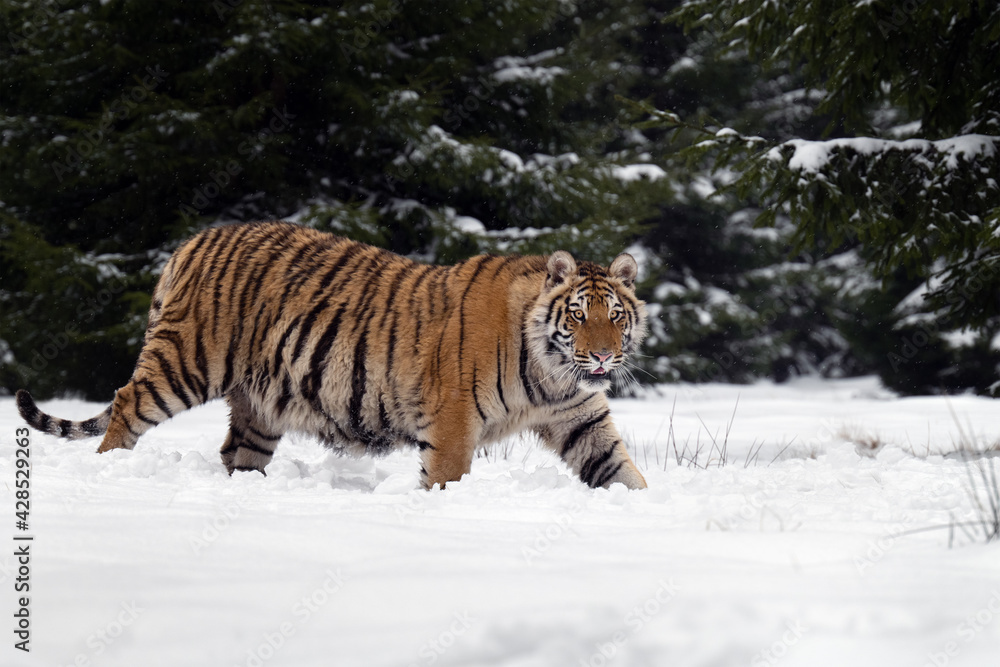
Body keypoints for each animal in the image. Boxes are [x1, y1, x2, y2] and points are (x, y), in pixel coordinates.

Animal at [16, 221, 648, 490]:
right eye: (578, 316)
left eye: (615, 317)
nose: (600, 359)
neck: (552, 372)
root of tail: (191, 241)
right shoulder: (452, 422)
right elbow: (446, 477)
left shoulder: (579, 417)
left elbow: (620, 469)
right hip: (186, 361)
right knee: (125, 405)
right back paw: (111, 470)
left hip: (259, 405)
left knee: (235, 451)